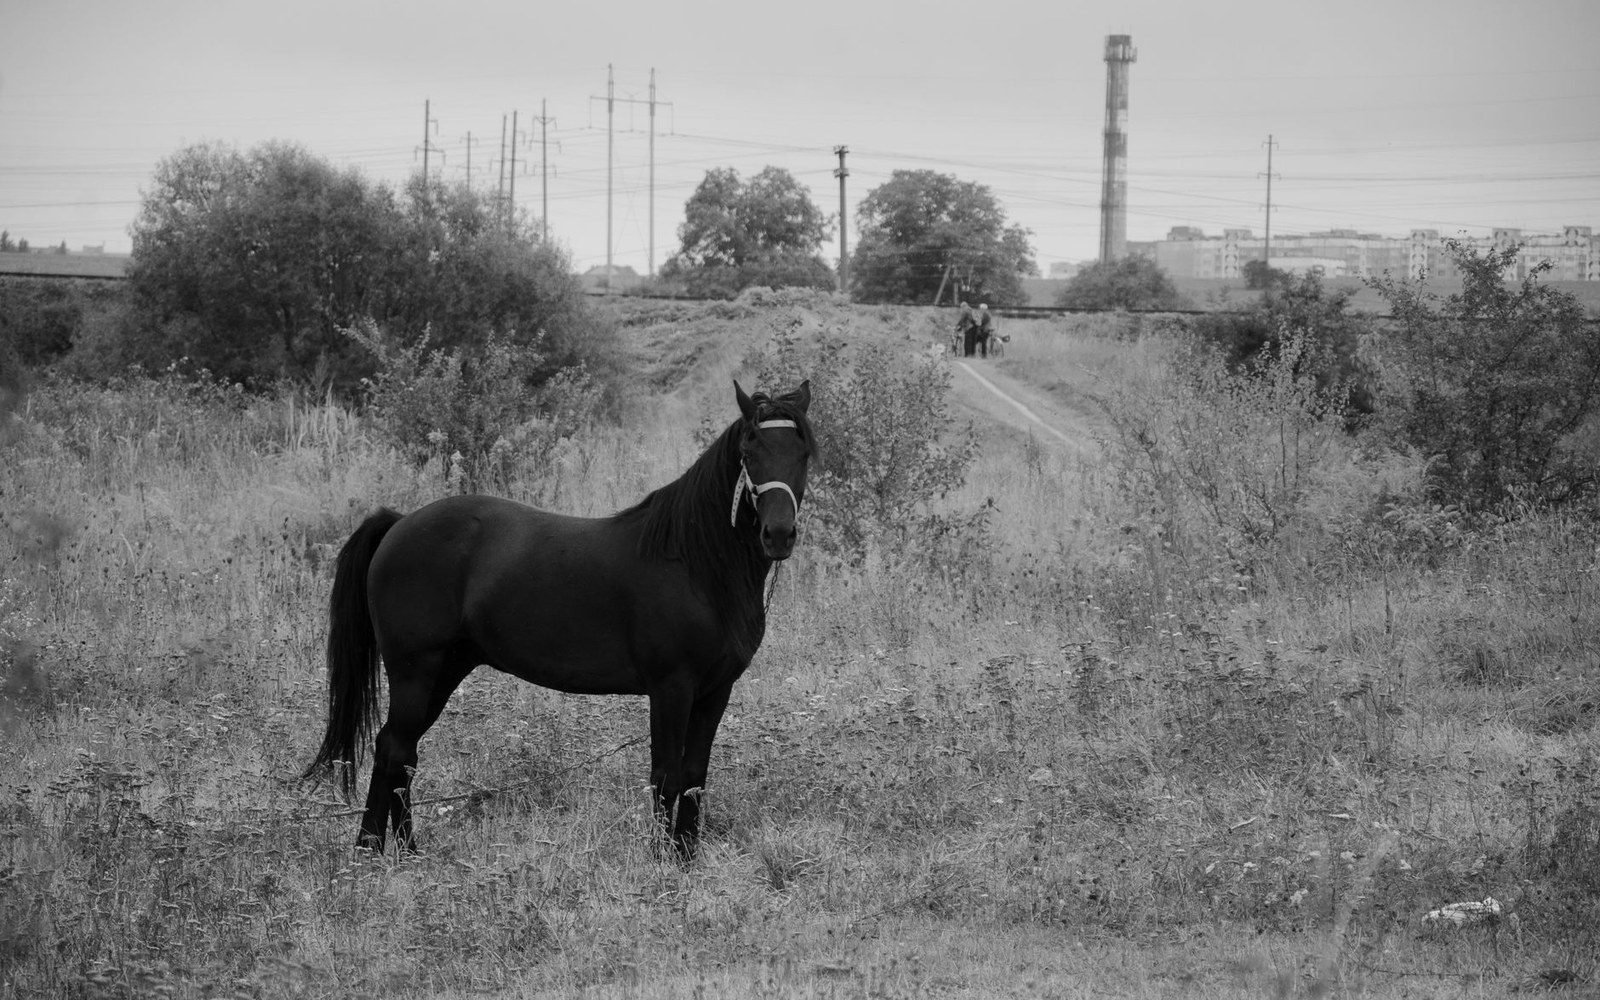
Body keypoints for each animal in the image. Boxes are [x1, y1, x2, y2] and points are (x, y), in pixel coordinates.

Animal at [303, 380, 814, 859]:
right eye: (749, 451)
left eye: (804, 452)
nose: (778, 534)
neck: (694, 564)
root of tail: (400, 523)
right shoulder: (672, 688)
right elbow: (666, 775)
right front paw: (662, 862)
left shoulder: (714, 692)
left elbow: (693, 777)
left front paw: (686, 857)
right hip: (416, 672)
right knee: (394, 750)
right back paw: (373, 852)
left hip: (444, 673)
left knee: (399, 752)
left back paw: (399, 853)